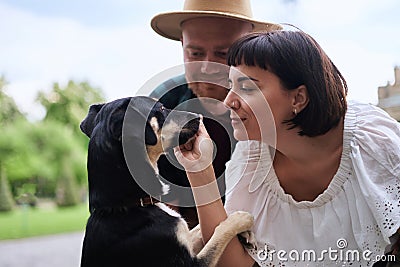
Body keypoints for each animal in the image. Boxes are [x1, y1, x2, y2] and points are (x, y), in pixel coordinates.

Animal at [79, 97, 253, 267]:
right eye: (161, 108)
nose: (198, 116)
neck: (127, 205)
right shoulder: (189, 263)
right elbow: (218, 235)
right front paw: (240, 219)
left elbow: (200, 230)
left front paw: (242, 231)